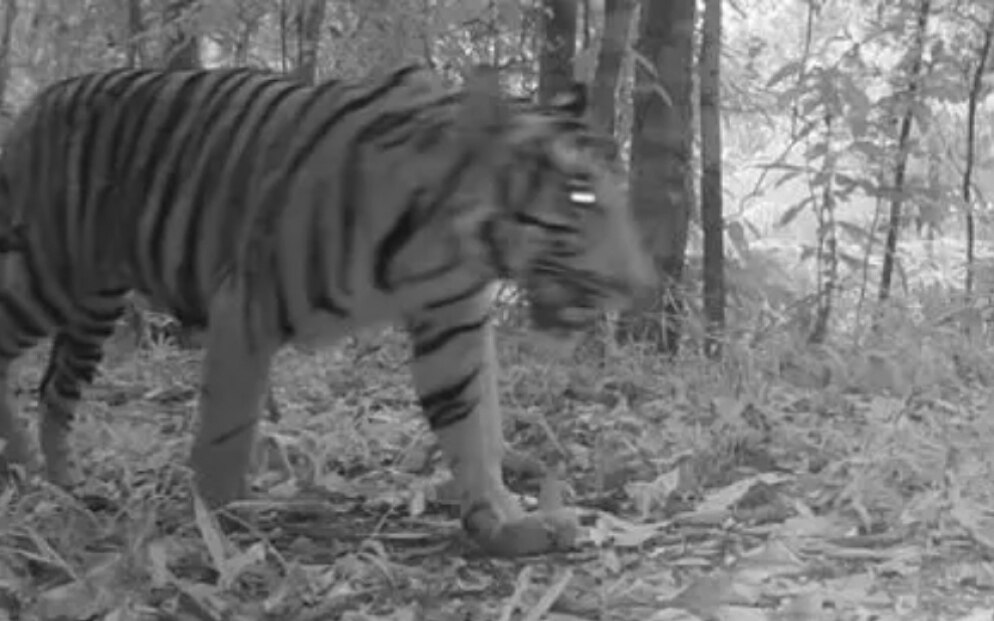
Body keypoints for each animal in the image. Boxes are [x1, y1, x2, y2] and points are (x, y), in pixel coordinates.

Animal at [0, 63, 652, 556]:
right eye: (581, 195)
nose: (639, 284)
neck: (455, 246)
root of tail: (40, 99)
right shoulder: (246, 305)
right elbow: (226, 433)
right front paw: (218, 527)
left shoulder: (453, 321)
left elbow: (471, 423)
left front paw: (505, 522)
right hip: (47, 277)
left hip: (94, 305)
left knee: (56, 391)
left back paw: (59, 483)